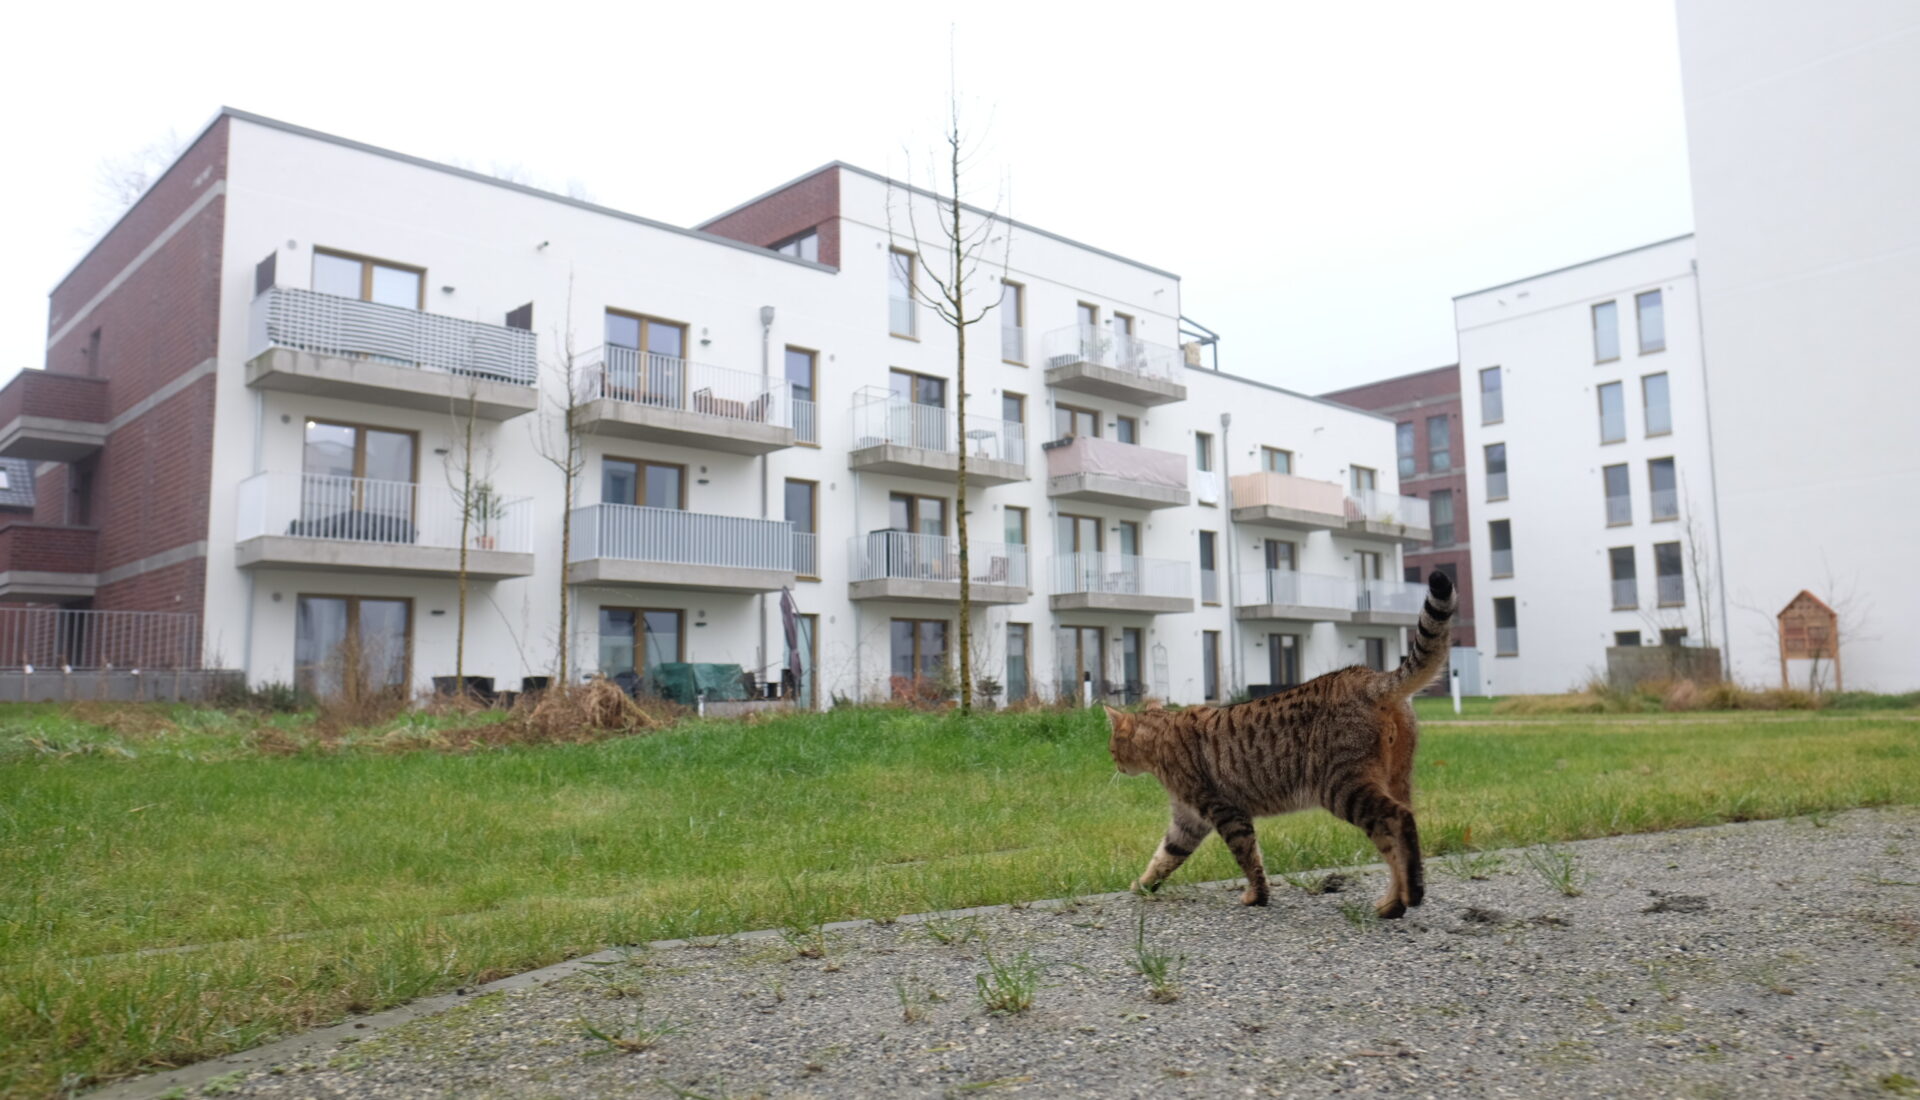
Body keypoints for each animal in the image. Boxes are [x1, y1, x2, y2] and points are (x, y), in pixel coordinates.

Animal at [1113, 572, 1451, 913]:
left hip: (1343, 787)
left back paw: (1412, 894)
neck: (1162, 736)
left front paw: (1257, 896)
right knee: (1393, 842)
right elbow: (1165, 856)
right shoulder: (1188, 820)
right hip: (1393, 779)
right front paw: (1142, 885)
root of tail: (1368, 676)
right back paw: (1394, 902)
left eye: (1112, 747)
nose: (1115, 763)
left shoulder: (1224, 810)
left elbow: (1248, 858)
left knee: (1400, 819)